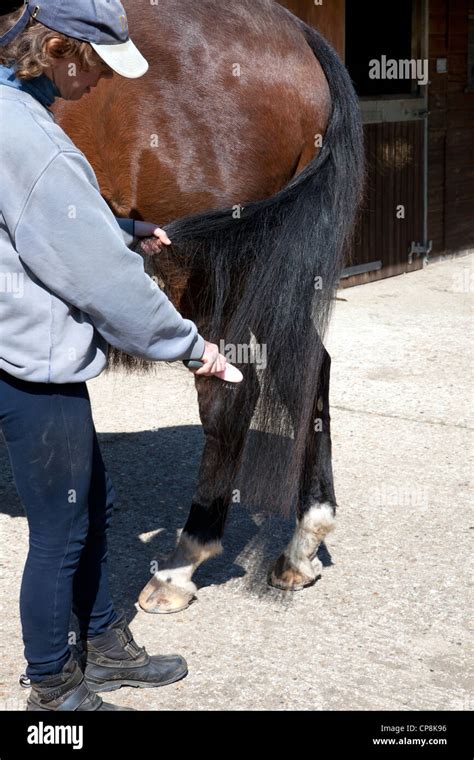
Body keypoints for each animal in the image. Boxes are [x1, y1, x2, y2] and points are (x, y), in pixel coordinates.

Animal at [53, 0, 364, 614]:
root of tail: (295, 31)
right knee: (308, 367)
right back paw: (302, 545)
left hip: (212, 274)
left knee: (230, 390)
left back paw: (181, 563)